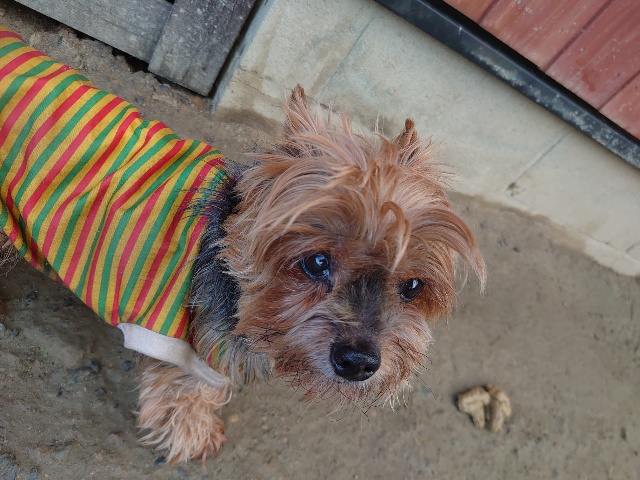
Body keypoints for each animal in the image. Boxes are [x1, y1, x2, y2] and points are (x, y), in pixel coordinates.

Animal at [0, 27, 485, 462]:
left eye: (413, 287)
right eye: (316, 262)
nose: (359, 362)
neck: (225, 249)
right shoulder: (190, 347)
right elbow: (190, 394)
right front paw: (194, 437)